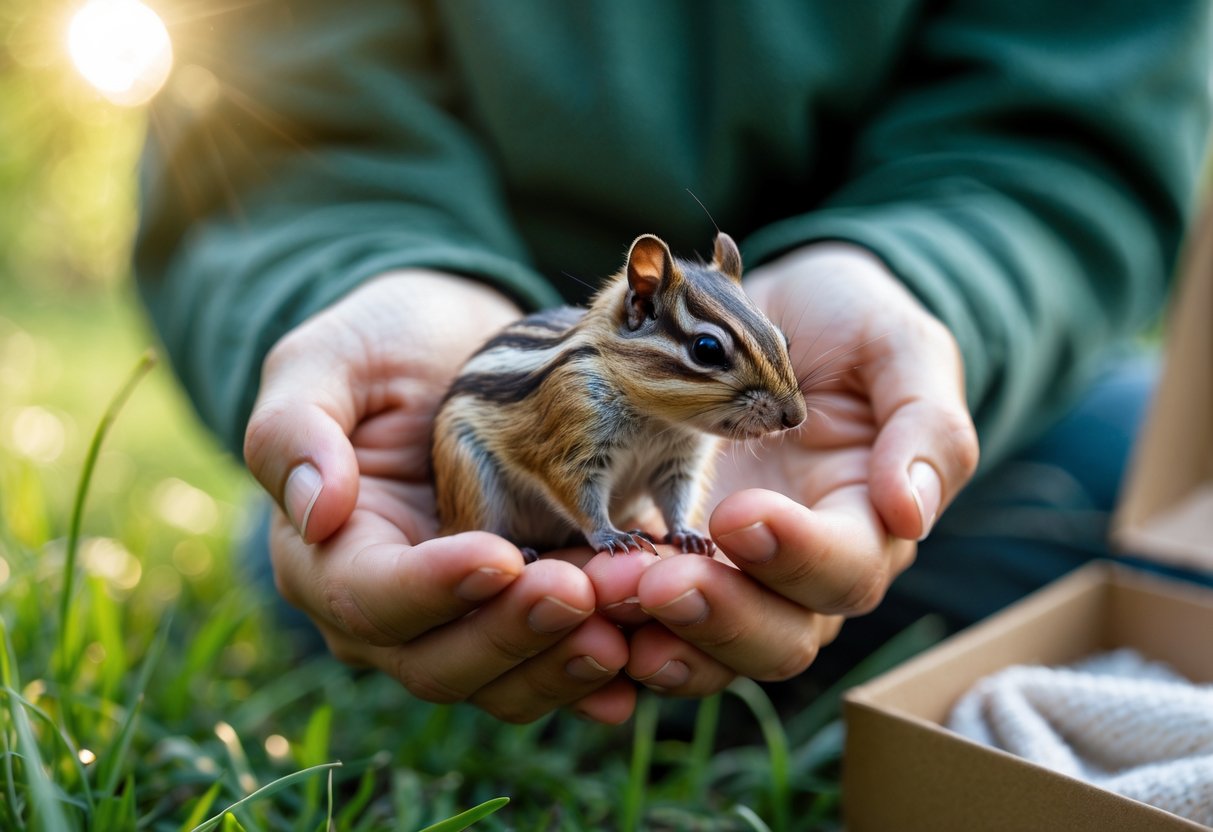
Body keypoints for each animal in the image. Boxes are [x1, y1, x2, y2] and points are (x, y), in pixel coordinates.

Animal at [432, 232, 807, 561]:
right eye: (707, 349)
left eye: (782, 338)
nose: (795, 417)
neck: (658, 419)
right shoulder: (572, 437)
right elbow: (578, 494)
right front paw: (611, 536)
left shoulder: (679, 463)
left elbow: (677, 499)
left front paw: (686, 533)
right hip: (468, 476)